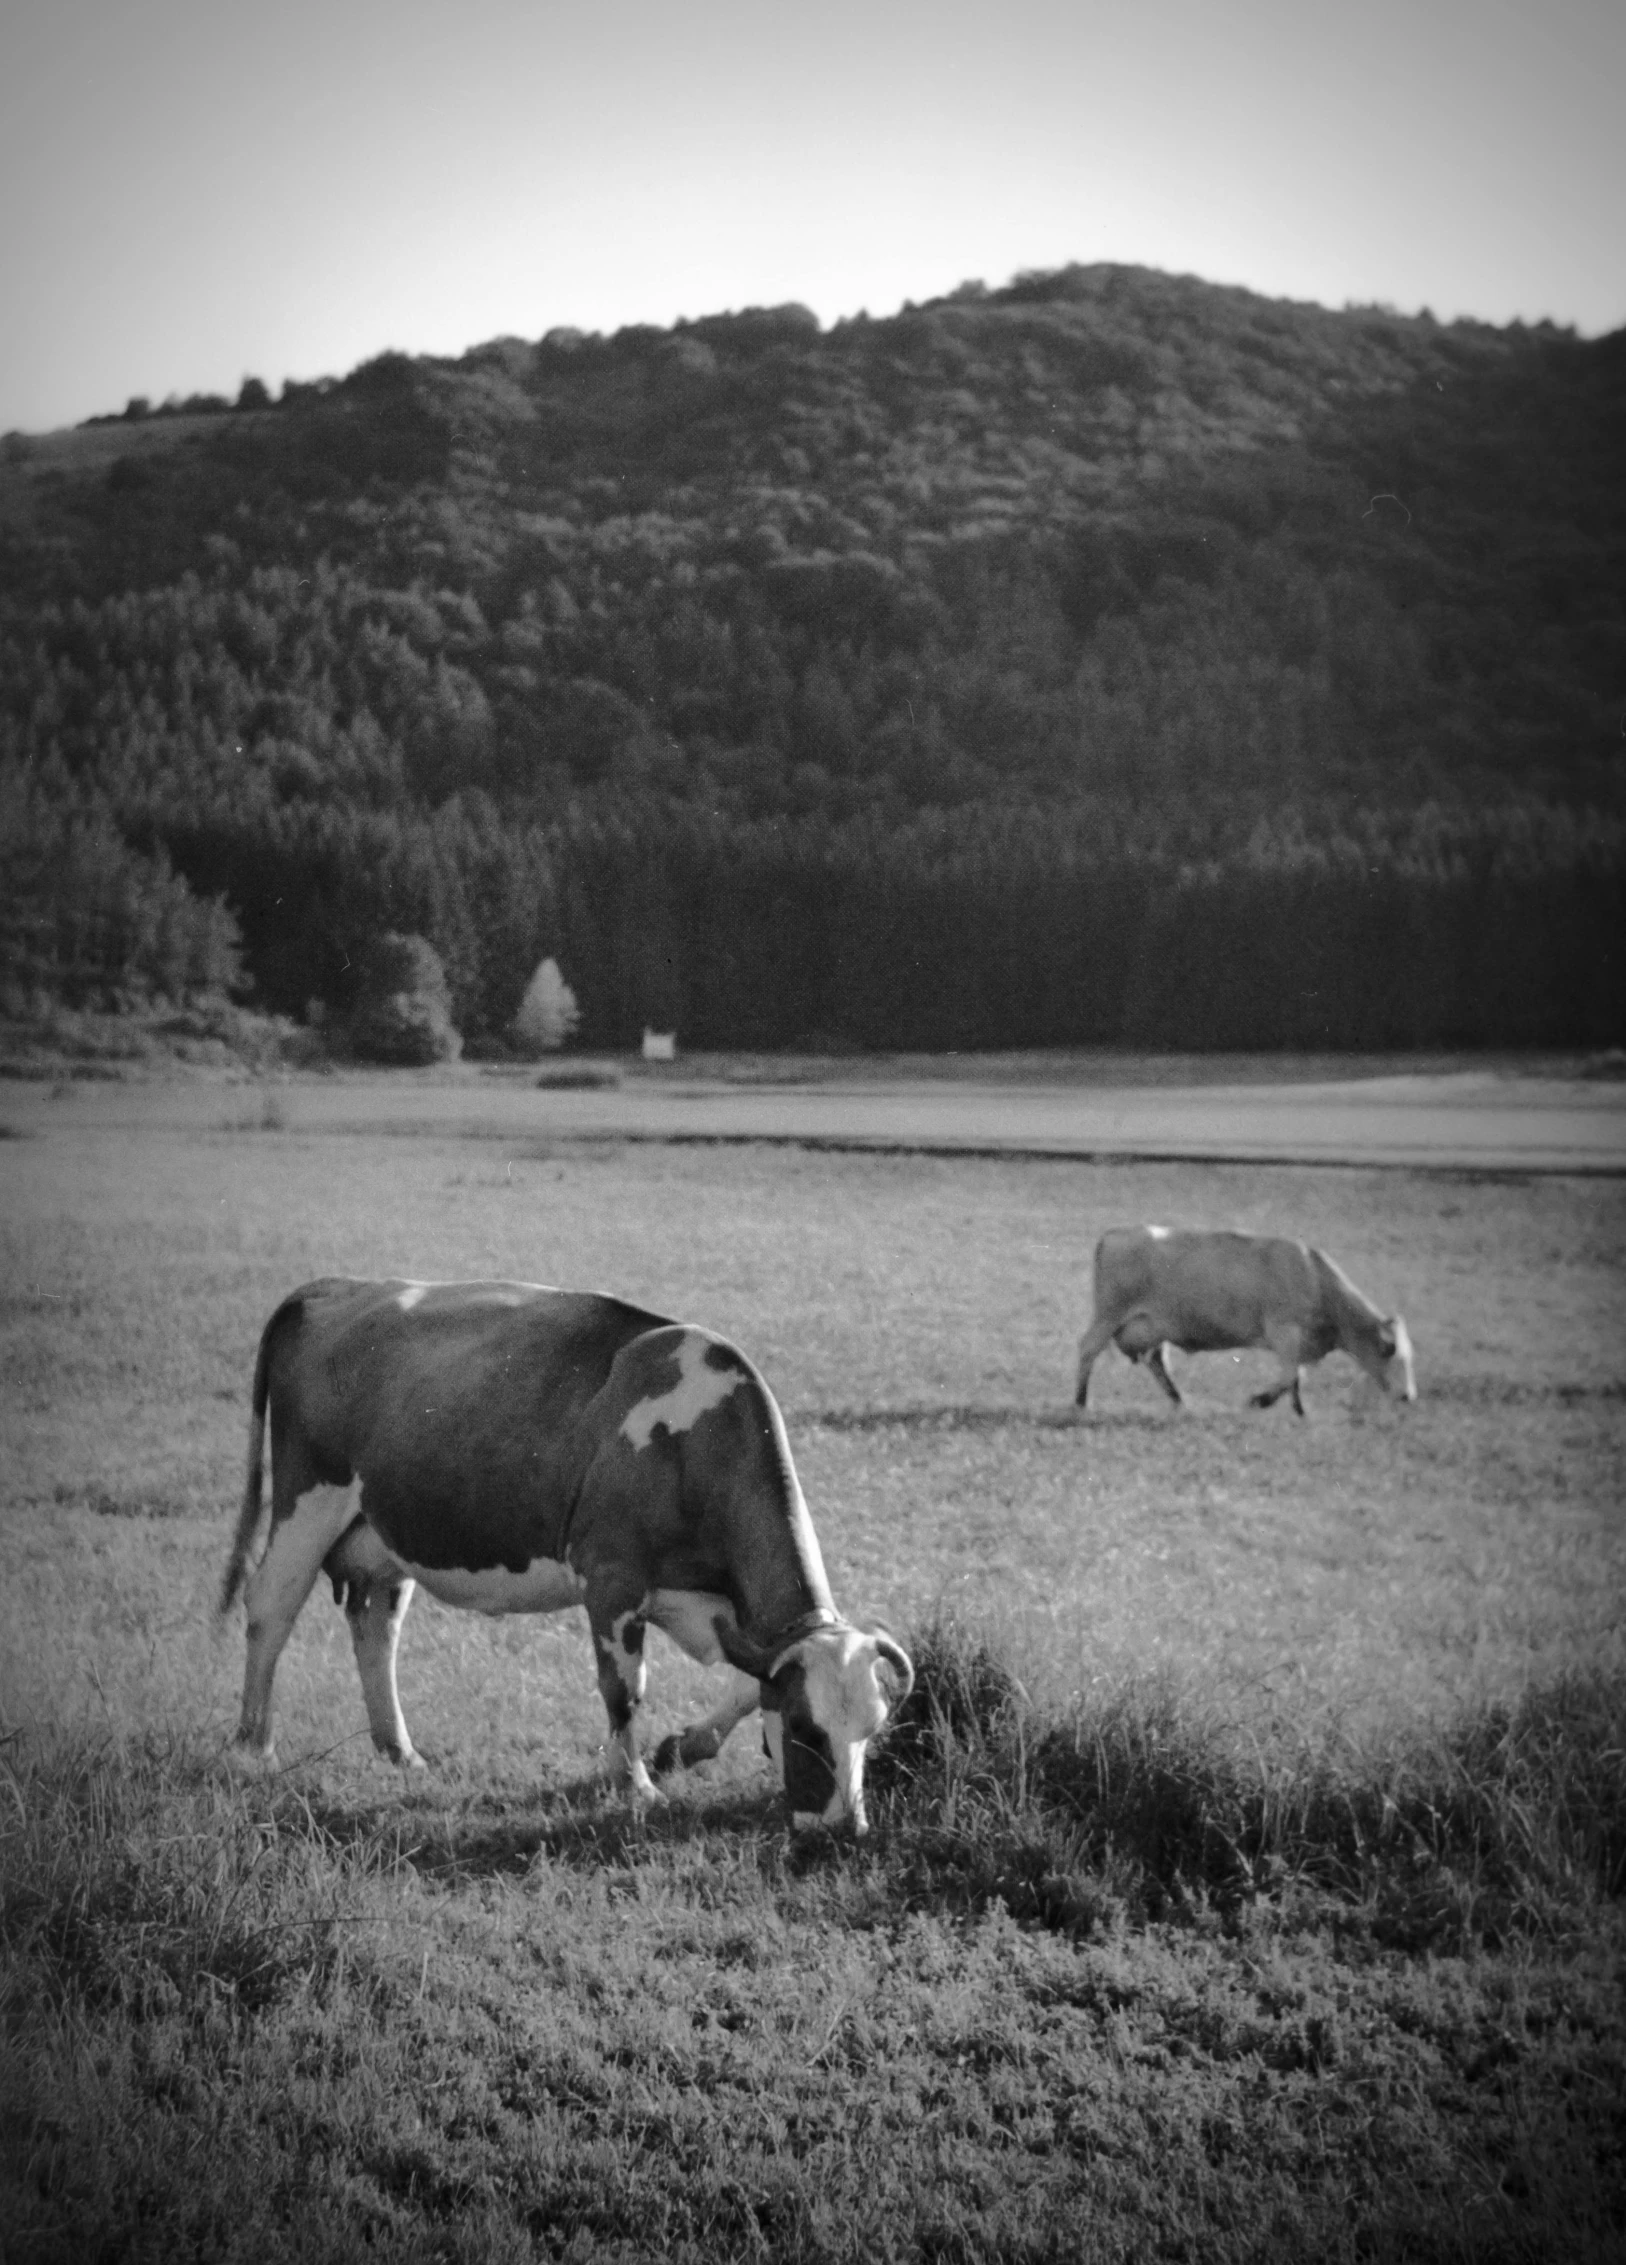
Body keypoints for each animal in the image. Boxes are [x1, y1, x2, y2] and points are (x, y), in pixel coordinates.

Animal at [216, 1286, 914, 1830]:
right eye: (803, 1728)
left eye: (874, 1729)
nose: (843, 1828)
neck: (689, 1443)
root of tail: (331, 1290)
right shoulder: (611, 1581)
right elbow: (624, 1688)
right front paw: (635, 1785)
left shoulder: (725, 1611)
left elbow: (746, 1682)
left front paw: (680, 1748)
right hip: (308, 1504)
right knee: (270, 1607)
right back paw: (255, 1744)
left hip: (383, 1535)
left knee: (375, 1627)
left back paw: (398, 1750)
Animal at [1068, 1223, 1413, 1413]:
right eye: (1393, 1354)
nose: (1409, 1397)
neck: (1315, 1277)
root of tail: (1115, 1233)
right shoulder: (1284, 1331)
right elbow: (1289, 1377)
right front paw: (1259, 1401)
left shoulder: (1299, 1344)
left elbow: (1296, 1378)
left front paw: (1300, 1411)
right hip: (1109, 1315)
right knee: (1088, 1349)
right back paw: (1081, 1401)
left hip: (1153, 1327)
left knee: (1157, 1362)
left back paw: (1179, 1401)